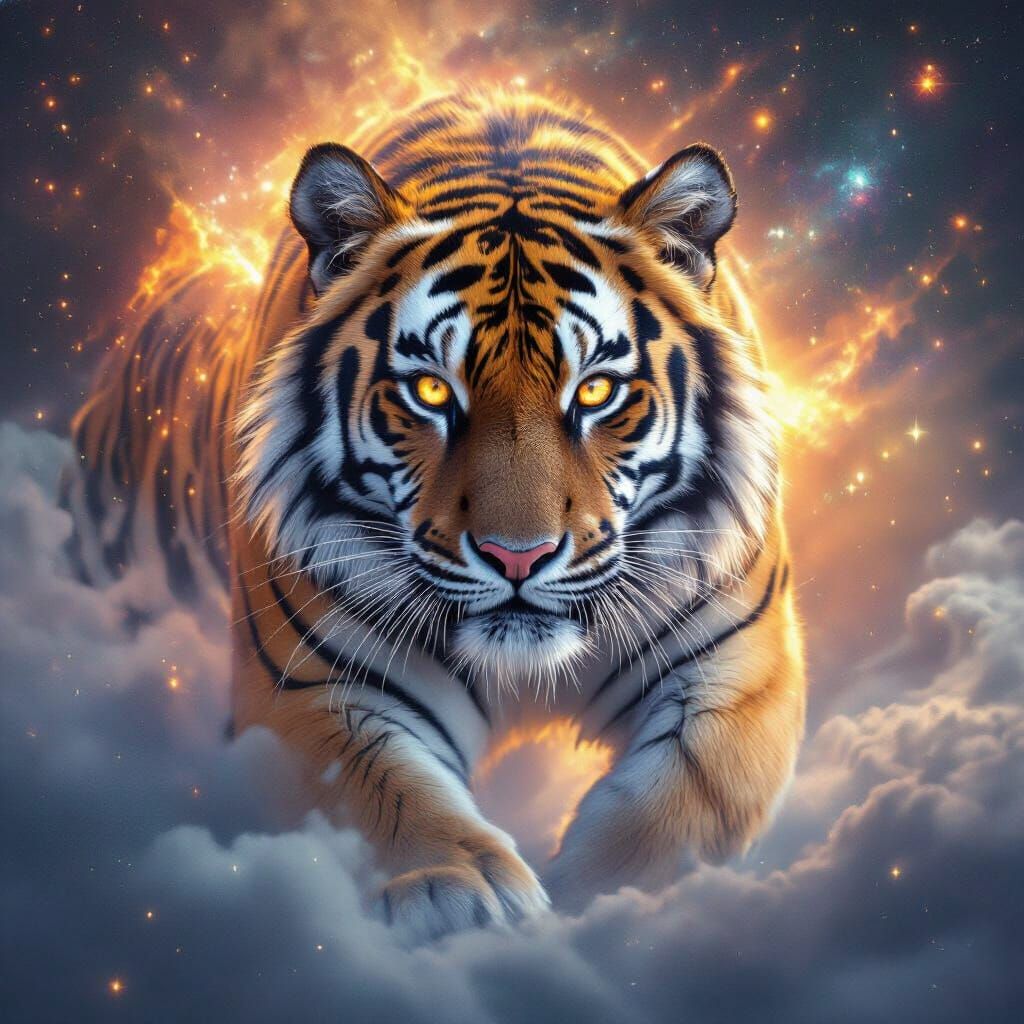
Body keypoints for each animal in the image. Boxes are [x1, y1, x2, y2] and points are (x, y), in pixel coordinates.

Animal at [65, 90, 805, 939]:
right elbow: (379, 792)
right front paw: (460, 890)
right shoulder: (311, 686)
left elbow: (691, 794)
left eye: (594, 391)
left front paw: (600, 896)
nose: (518, 557)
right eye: (429, 391)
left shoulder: (739, 664)